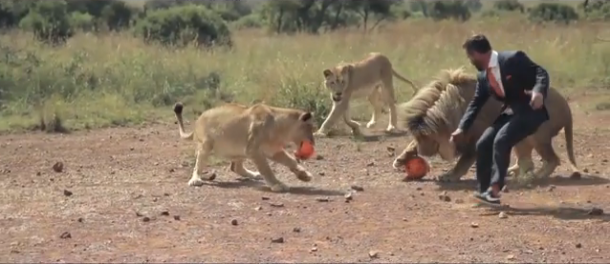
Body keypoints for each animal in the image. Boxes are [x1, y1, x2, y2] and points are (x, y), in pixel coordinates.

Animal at [171, 101, 314, 192]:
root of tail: (197, 121)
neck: (281, 129)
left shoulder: (273, 151)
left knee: (236, 167)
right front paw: (277, 185)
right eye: (310, 128)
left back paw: (254, 175)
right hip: (206, 145)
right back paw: (195, 180)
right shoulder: (253, 150)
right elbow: (267, 169)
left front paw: (304, 175)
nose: (313, 142)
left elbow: (291, 161)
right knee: (198, 166)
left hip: (239, 150)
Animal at [392, 68, 576, 184]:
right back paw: (514, 170)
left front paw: (450, 176)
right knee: (526, 159)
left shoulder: (476, 137)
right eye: (417, 136)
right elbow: (410, 145)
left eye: (426, 136)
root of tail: (567, 106)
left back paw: (535, 176)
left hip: (537, 136)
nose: (422, 153)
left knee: (552, 160)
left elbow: (464, 161)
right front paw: (400, 159)